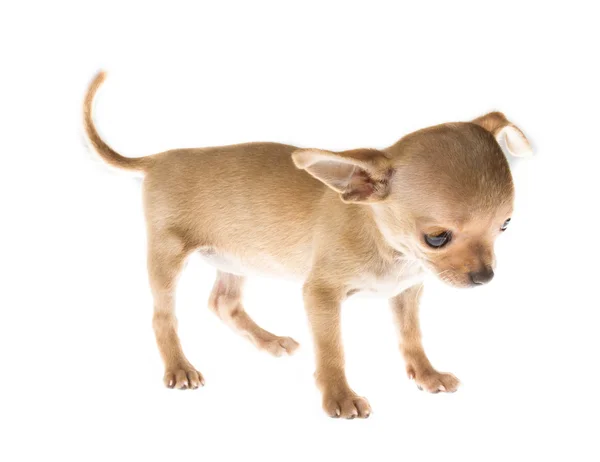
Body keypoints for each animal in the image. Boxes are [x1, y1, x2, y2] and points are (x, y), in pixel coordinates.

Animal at [82, 71, 532, 418]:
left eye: (505, 226)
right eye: (436, 237)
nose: (485, 277)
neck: (389, 247)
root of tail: (157, 159)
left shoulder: (406, 292)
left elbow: (412, 336)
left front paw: (426, 373)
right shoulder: (321, 295)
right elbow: (332, 349)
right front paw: (340, 396)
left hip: (236, 256)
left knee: (223, 302)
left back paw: (268, 340)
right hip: (168, 257)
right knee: (163, 316)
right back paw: (178, 366)